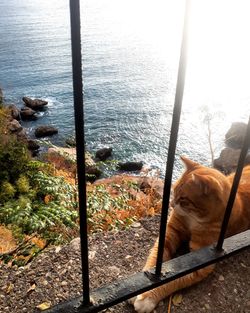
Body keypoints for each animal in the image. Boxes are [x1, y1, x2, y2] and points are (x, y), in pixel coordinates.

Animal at [131, 156, 250, 312]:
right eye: (173, 190)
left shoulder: (200, 261)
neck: (194, 219)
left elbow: (173, 281)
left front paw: (147, 297)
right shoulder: (169, 233)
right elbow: (154, 260)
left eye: (183, 199)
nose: (171, 205)